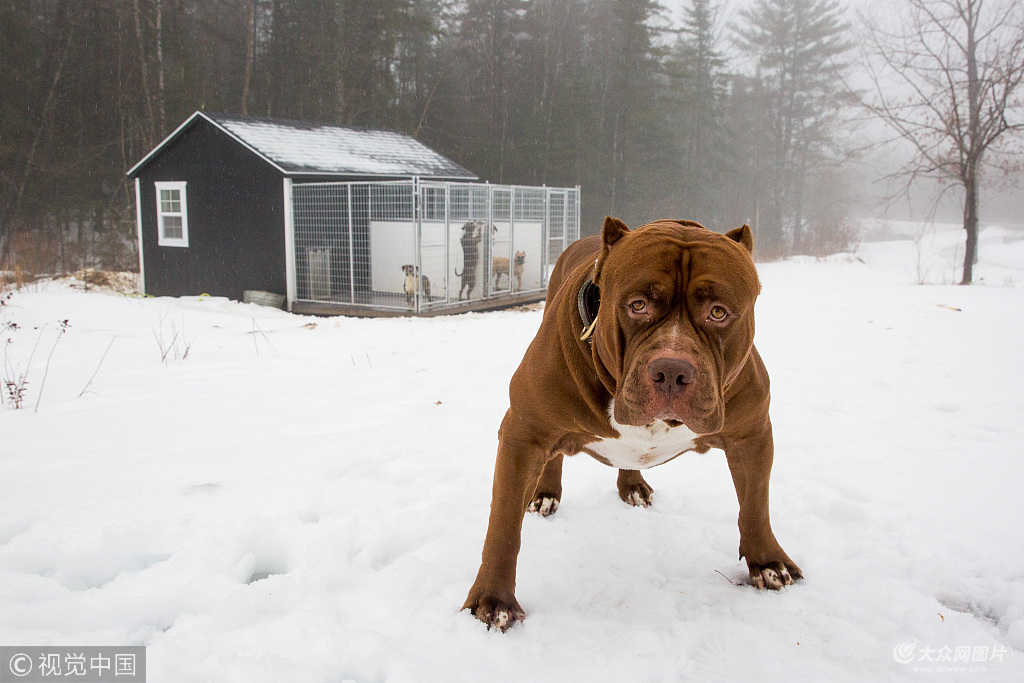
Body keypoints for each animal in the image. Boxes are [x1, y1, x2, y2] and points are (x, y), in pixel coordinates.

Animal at [462, 218, 798, 630]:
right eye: (637, 305)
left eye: (719, 313)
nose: (672, 370)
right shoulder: (524, 432)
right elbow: (504, 525)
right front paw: (494, 599)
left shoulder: (751, 435)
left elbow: (755, 505)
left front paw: (767, 562)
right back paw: (546, 492)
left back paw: (633, 485)